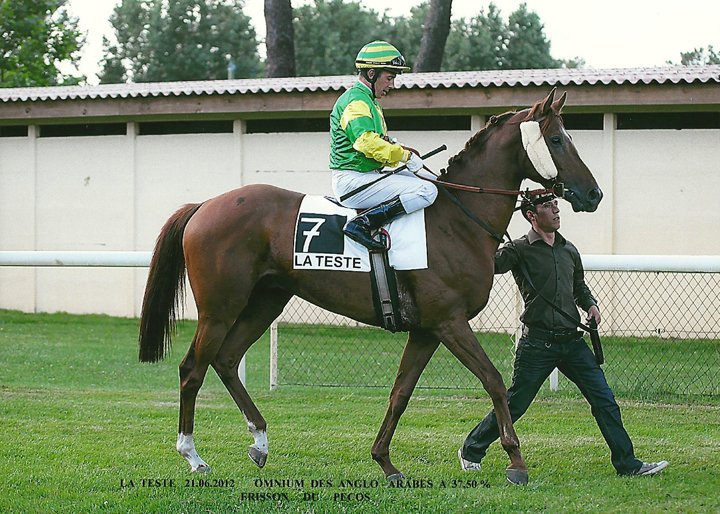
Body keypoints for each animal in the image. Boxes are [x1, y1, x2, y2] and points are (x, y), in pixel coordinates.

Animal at [138, 88, 602, 485]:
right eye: (557, 139)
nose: (593, 194)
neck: (457, 220)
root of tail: (204, 205)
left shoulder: (427, 329)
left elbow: (400, 392)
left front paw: (385, 462)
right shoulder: (450, 322)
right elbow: (493, 380)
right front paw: (515, 459)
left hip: (265, 301)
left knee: (227, 359)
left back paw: (260, 442)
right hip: (220, 307)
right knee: (192, 368)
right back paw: (193, 455)